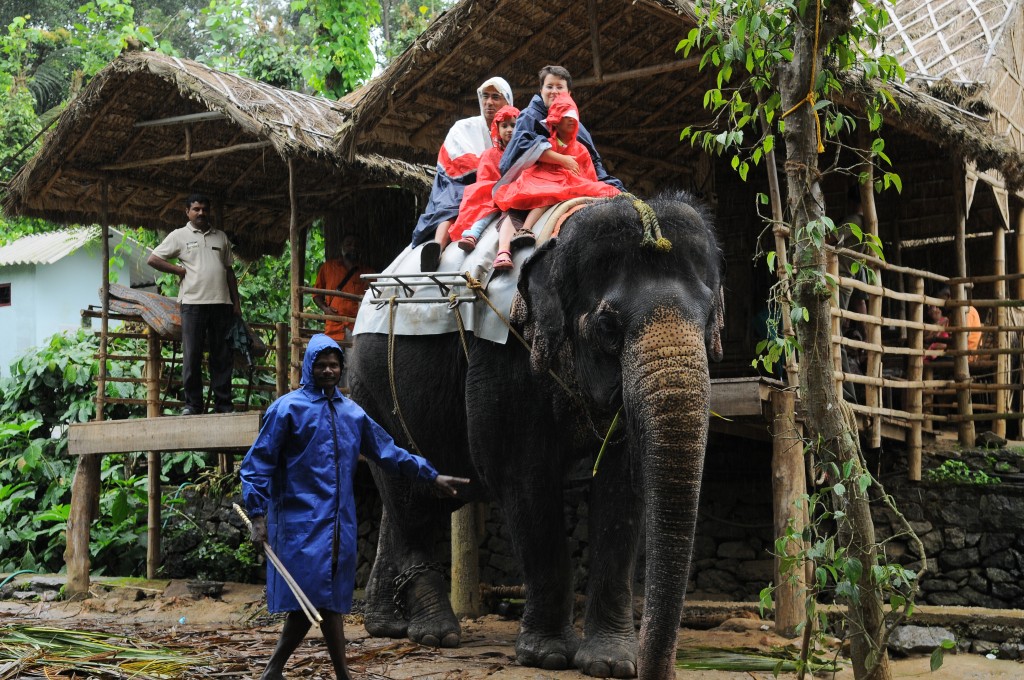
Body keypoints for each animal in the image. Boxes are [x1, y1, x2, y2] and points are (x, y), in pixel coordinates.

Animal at [348, 192, 724, 680]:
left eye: (710, 319)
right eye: (608, 327)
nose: (660, 671)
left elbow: (625, 488)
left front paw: (609, 663)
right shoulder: (504, 356)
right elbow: (523, 478)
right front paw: (548, 657)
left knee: (408, 497)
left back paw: (387, 627)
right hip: (371, 386)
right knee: (409, 498)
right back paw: (435, 633)